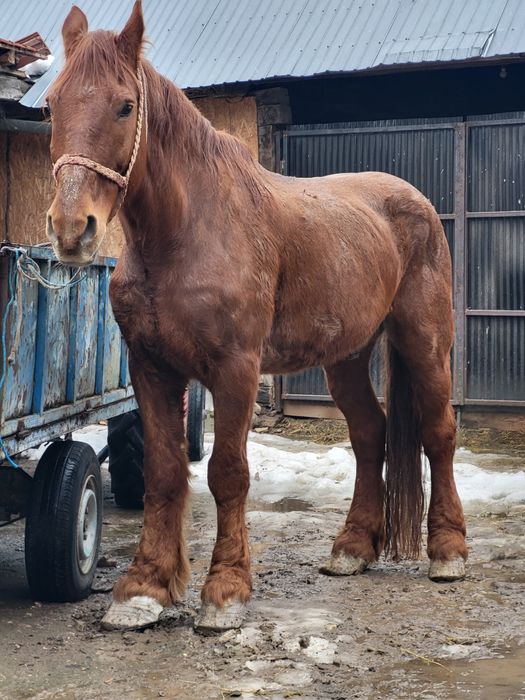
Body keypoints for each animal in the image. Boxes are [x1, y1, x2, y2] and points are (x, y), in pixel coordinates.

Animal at [46, 1, 467, 632]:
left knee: (438, 434)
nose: (72, 230)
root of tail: (414, 202)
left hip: (425, 340)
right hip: (347, 357)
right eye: (52, 104)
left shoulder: (236, 369)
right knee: (370, 435)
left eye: (124, 105)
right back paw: (351, 549)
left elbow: (227, 472)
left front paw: (225, 591)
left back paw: (448, 552)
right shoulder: (152, 369)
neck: (185, 233)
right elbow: (164, 473)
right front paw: (144, 589)